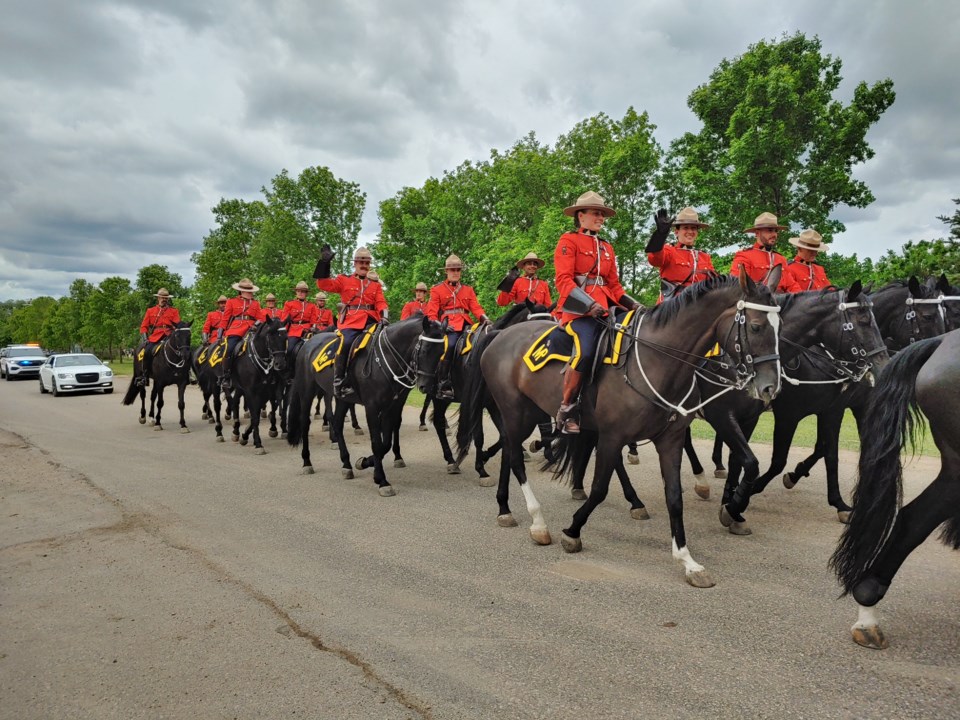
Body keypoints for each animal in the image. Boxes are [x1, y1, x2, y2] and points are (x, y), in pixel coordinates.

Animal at [227, 318, 286, 452]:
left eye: (285, 337)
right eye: (271, 337)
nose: (280, 364)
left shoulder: (267, 391)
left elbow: (258, 414)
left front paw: (247, 435)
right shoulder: (250, 392)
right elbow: (255, 416)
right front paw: (258, 443)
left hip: (241, 389)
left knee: (235, 402)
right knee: (234, 403)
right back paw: (235, 431)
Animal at [284, 320, 422, 496]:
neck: (386, 358)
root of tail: (308, 344)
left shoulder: (392, 404)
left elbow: (386, 441)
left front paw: (366, 462)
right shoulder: (372, 406)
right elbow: (377, 443)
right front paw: (381, 480)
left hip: (341, 398)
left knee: (337, 423)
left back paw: (346, 464)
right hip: (307, 392)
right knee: (305, 423)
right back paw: (307, 462)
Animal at [456, 272, 780, 588]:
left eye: (779, 329)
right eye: (756, 326)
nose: (770, 387)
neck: (657, 360)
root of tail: (500, 335)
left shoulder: (670, 440)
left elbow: (674, 497)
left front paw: (688, 561)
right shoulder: (612, 436)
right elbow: (599, 489)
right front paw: (572, 531)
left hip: (530, 411)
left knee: (509, 451)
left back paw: (505, 509)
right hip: (515, 411)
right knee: (514, 457)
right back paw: (537, 523)